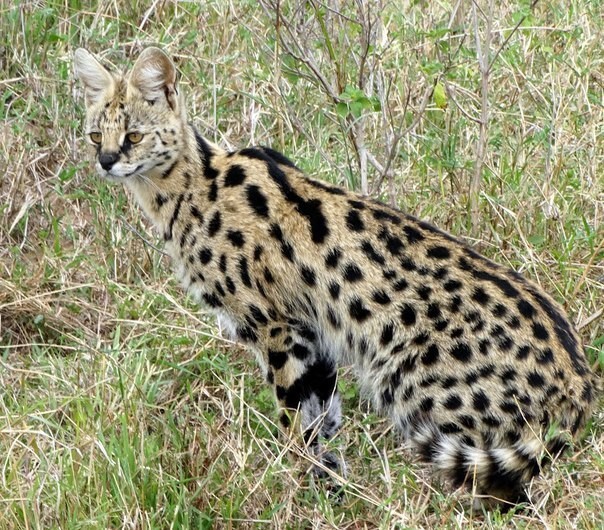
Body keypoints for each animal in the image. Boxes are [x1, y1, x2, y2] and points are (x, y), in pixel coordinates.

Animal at [74, 46, 596, 504]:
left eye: (133, 136)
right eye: (95, 135)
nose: (106, 161)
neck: (187, 189)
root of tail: (581, 384)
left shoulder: (276, 327)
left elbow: (293, 419)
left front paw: (297, 481)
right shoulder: (313, 335)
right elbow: (322, 418)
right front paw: (329, 485)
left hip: (412, 383)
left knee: (505, 482)